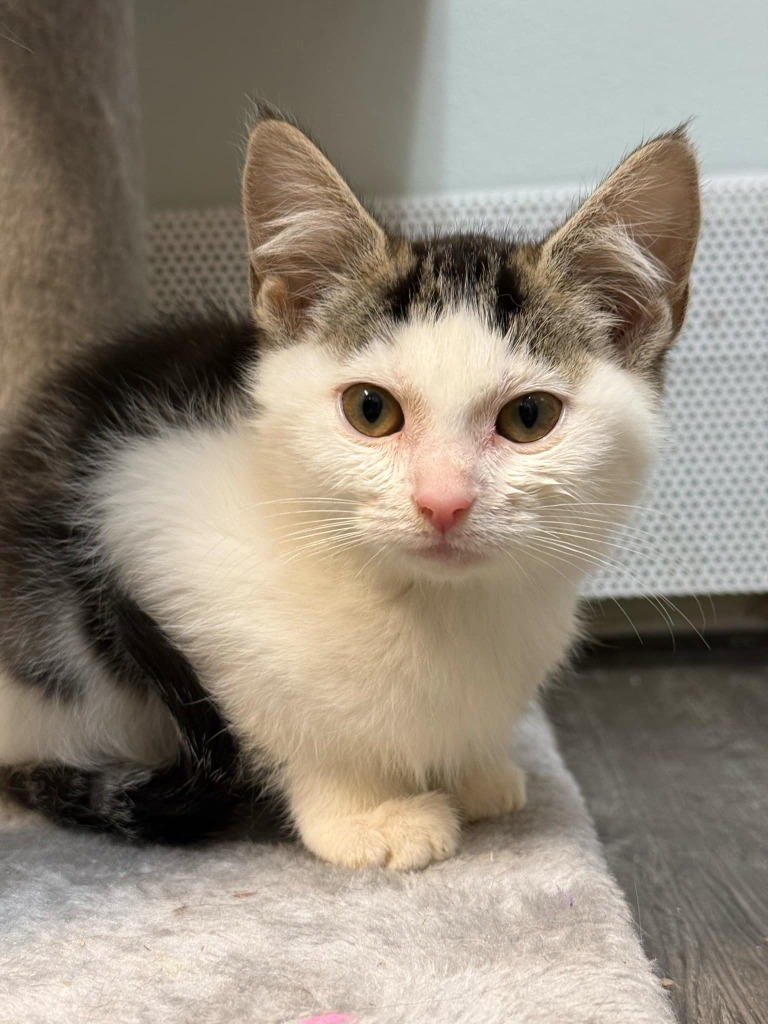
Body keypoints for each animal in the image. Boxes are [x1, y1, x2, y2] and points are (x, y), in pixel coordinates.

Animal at [0, 108, 704, 868]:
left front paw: (476, 772)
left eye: (529, 417)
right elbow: (283, 715)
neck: (433, 608)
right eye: (371, 410)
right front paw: (365, 813)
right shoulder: (142, 512)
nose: (442, 501)